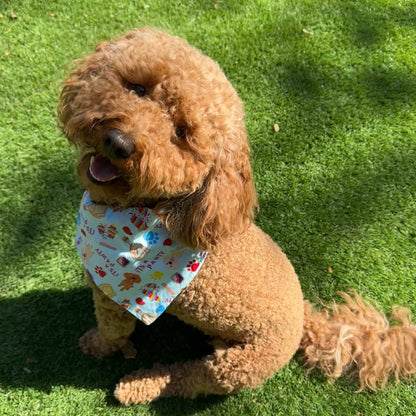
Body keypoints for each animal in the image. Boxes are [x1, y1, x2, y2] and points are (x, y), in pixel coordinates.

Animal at [59, 27, 416, 404]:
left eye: (181, 134)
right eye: (138, 88)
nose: (118, 142)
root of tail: (304, 317)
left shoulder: (113, 299)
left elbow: (112, 331)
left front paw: (95, 345)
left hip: (237, 367)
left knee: (188, 378)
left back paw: (138, 385)